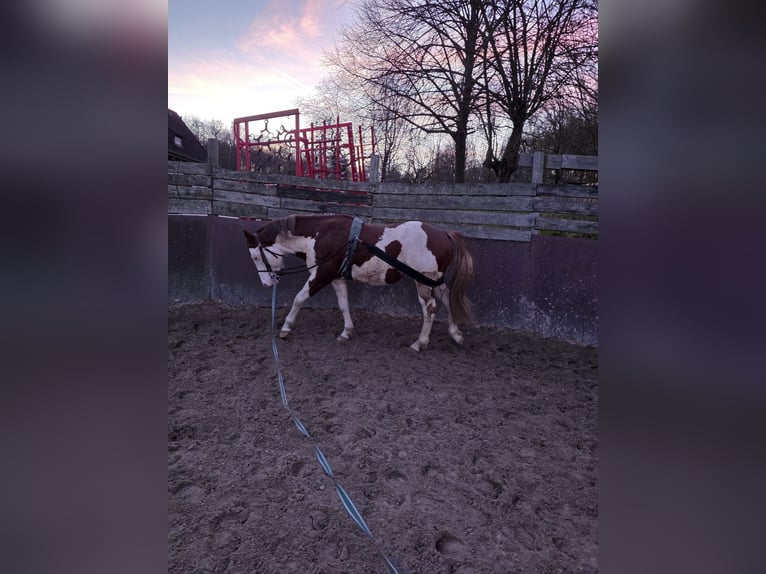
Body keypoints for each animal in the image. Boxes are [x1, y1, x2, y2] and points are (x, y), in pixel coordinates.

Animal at [243, 214, 475, 351]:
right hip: (433, 280)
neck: (320, 236)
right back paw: (456, 334)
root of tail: (444, 234)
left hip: (423, 282)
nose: (266, 284)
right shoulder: (336, 278)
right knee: (447, 299)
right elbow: (343, 304)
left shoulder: (321, 275)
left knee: (430, 309)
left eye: (255, 256)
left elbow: (299, 298)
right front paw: (346, 332)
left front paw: (286, 327)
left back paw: (420, 343)